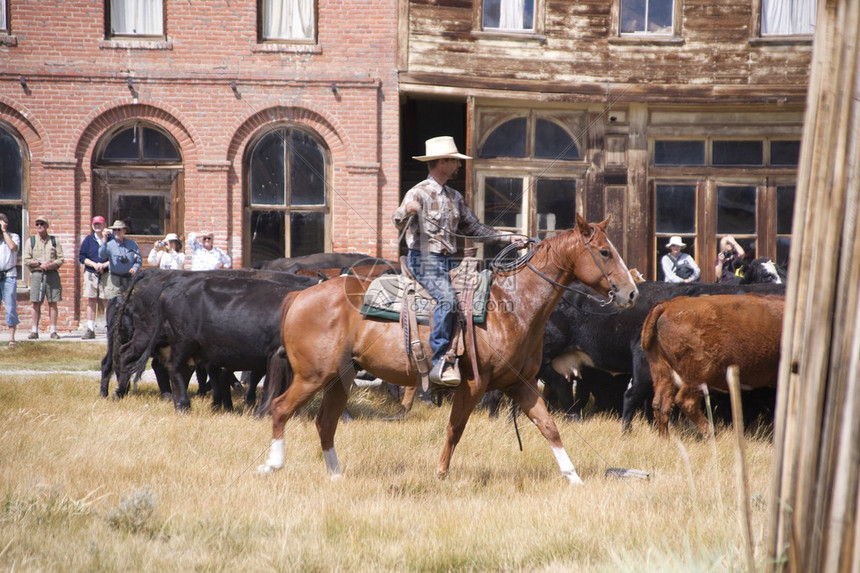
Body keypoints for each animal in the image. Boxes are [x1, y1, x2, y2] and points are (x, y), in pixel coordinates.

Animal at [255, 214, 640, 482]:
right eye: (604, 252)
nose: (632, 292)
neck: (512, 304)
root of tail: (298, 295)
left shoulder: (522, 385)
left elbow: (549, 427)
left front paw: (573, 478)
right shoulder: (473, 384)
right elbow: (455, 428)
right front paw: (441, 473)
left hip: (339, 379)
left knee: (325, 422)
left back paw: (336, 475)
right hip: (312, 376)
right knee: (281, 408)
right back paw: (272, 464)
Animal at [640, 292, 784, 436]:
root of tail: (667, 305)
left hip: (662, 371)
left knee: (661, 405)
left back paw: (666, 439)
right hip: (697, 377)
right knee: (687, 402)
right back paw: (711, 433)